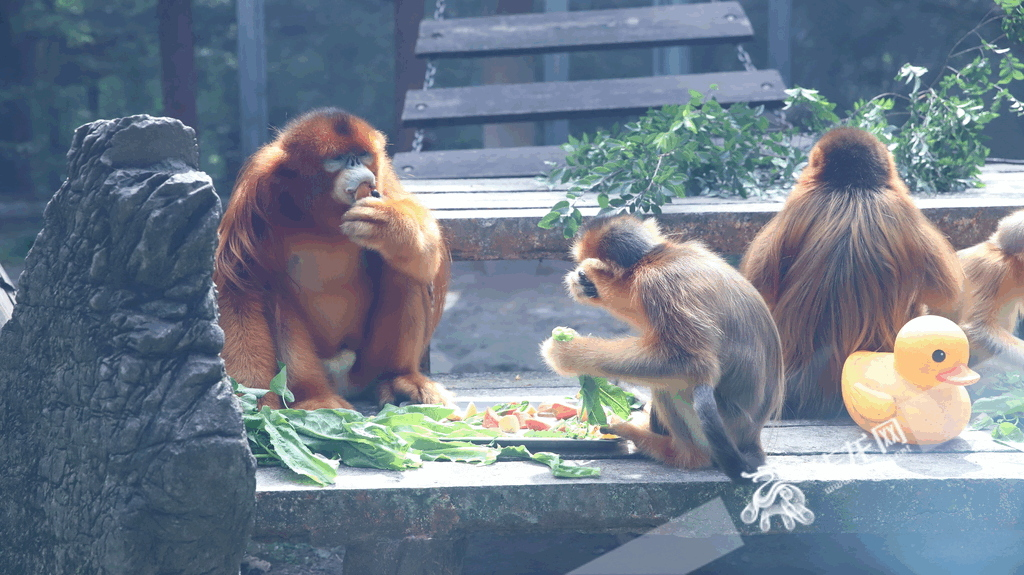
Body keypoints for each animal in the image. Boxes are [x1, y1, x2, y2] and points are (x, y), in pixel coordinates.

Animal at [540, 213, 786, 478]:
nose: (582, 277)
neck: (659, 256)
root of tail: (751, 438)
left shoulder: (656, 283)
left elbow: (693, 363)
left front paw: (566, 353)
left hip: (717, 424)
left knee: (675, 384)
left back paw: (675, 452)